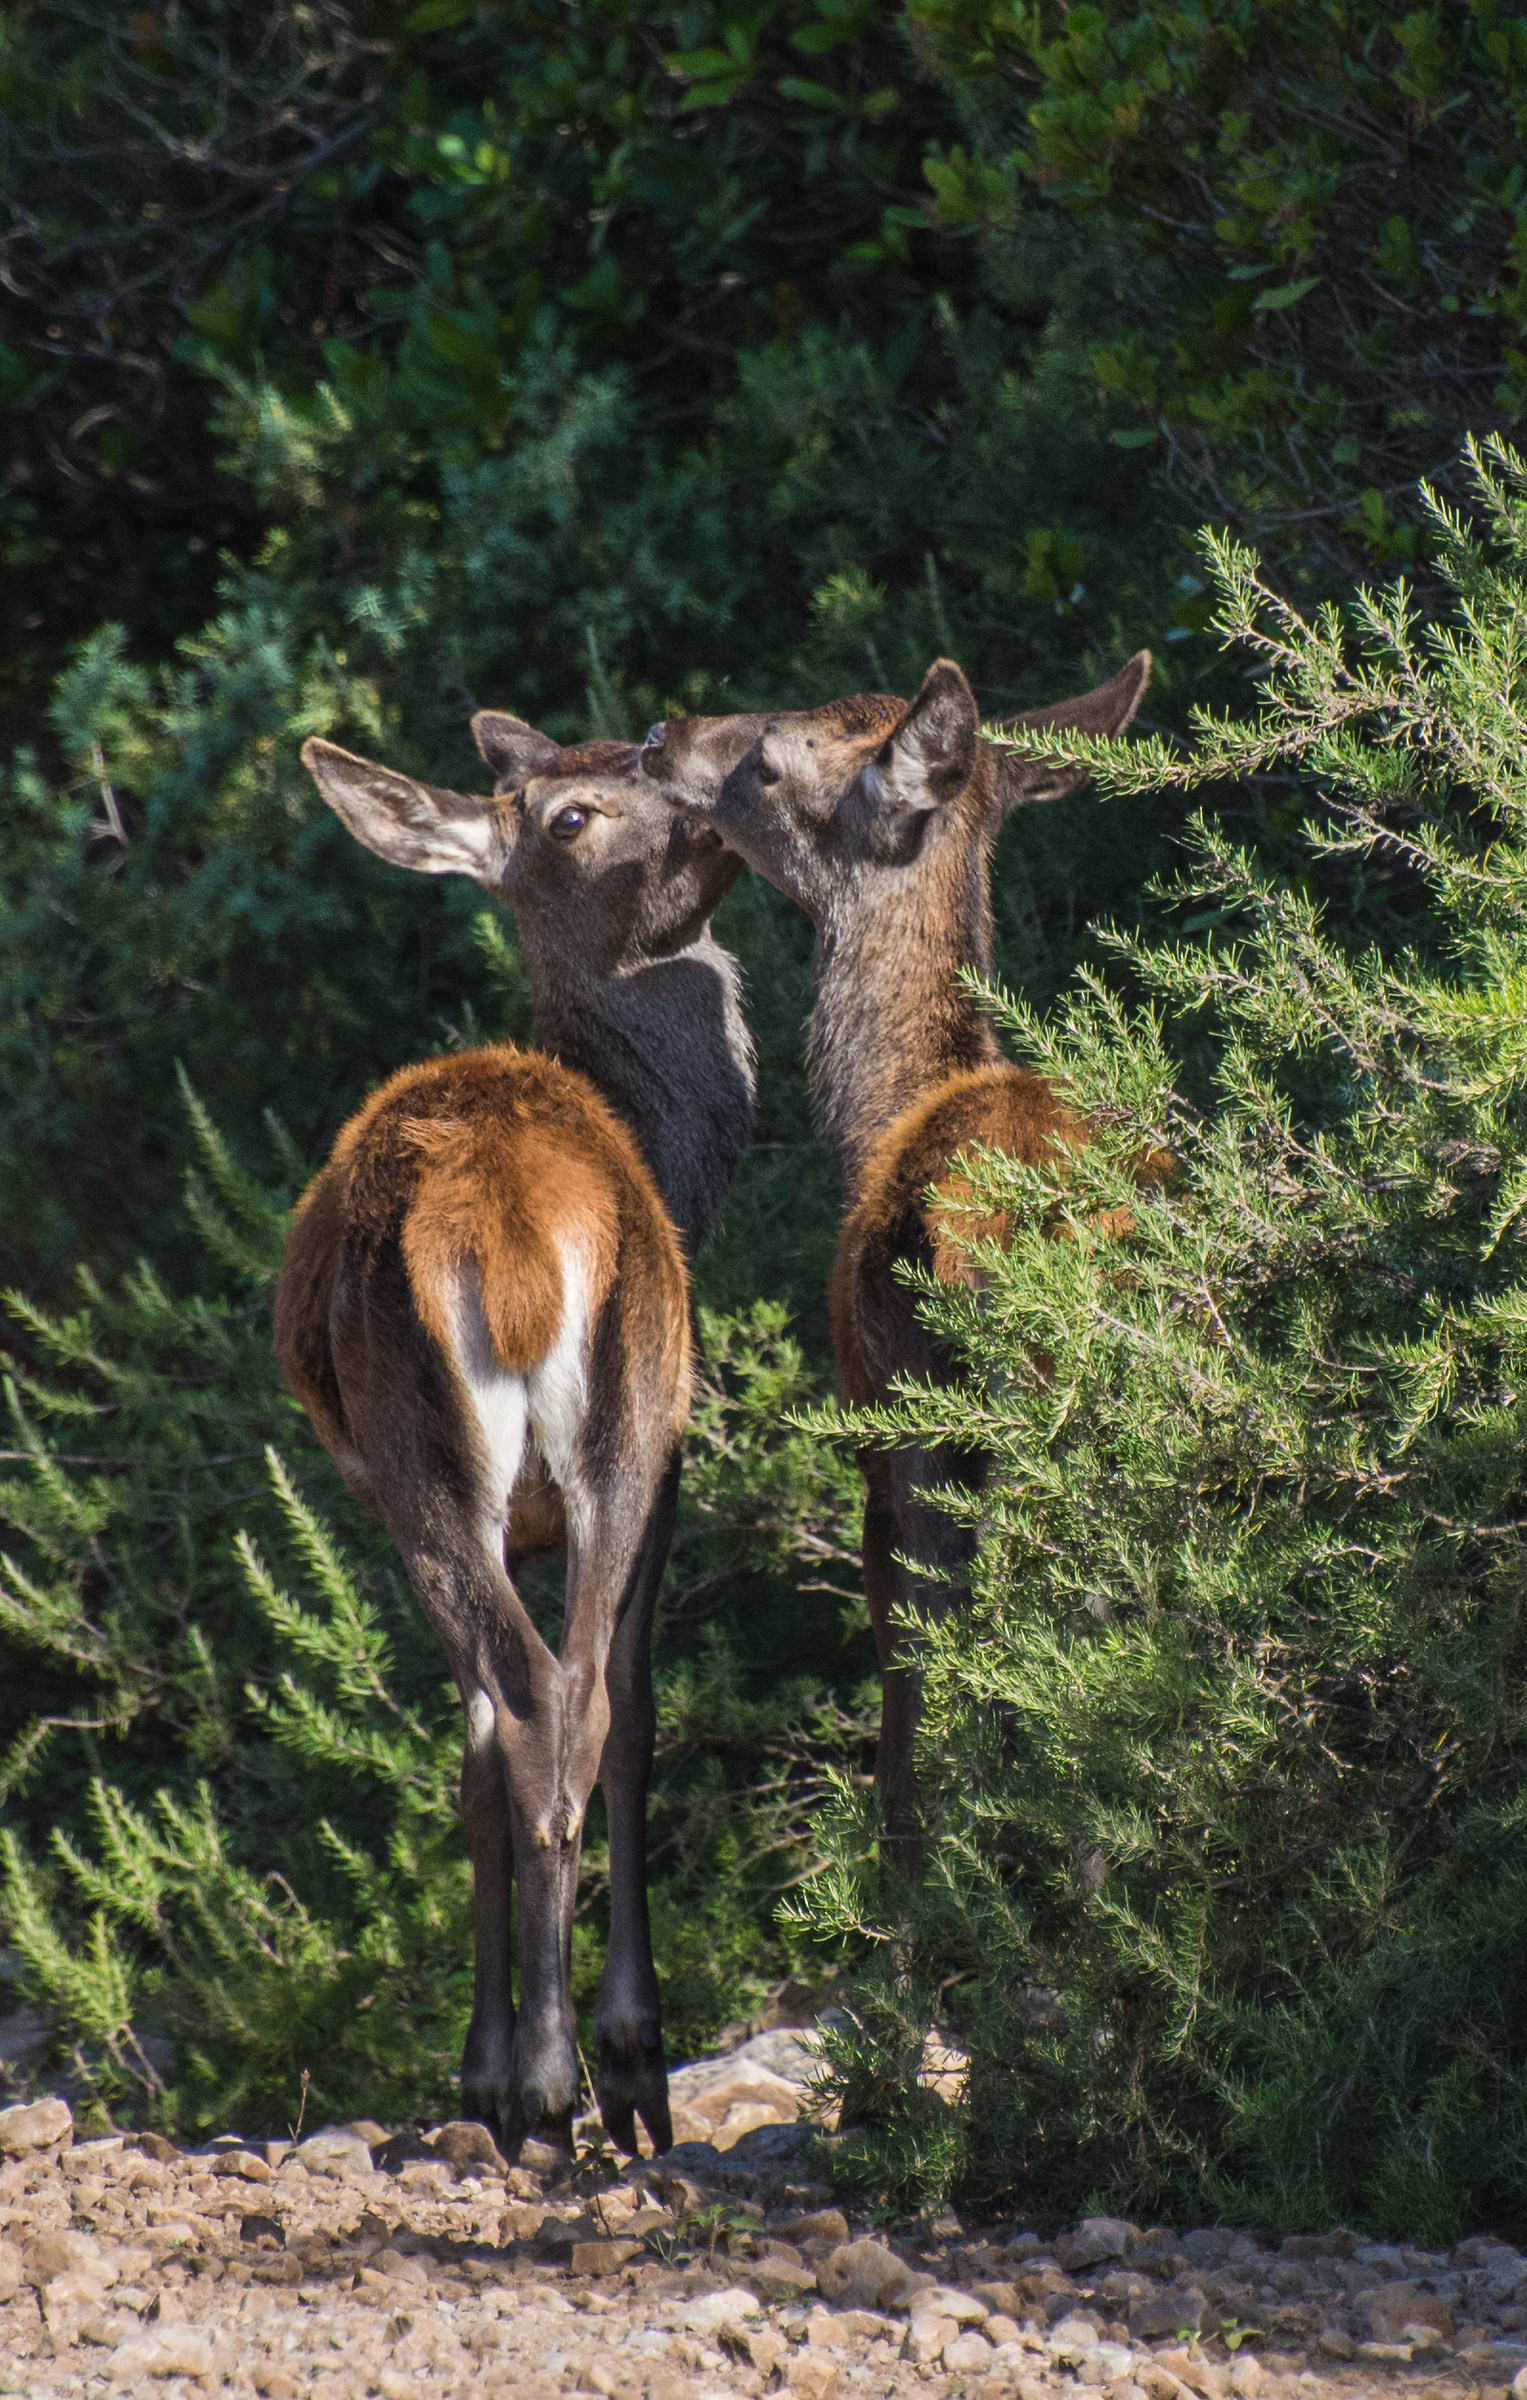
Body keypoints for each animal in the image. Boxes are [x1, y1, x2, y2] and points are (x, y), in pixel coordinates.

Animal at [273, 714, 754, 2163]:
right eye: (576, 813)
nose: (730, 807)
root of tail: (512, 1234)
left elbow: (482, 1750)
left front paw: (501, 2066)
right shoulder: (668, 1452)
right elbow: (606, 1712)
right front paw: (602, 2054)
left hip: (447, 1458)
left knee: (547, 1702)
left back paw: (543, 2084)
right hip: (596, 1438)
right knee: (575, 1697)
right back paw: (574, 2072)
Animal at [637, 651, 1150, 1865]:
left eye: (769, 763)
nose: (657, 737)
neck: (884, 1114)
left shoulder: (883, 1419)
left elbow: (910, 1688)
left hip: (974, 1411)